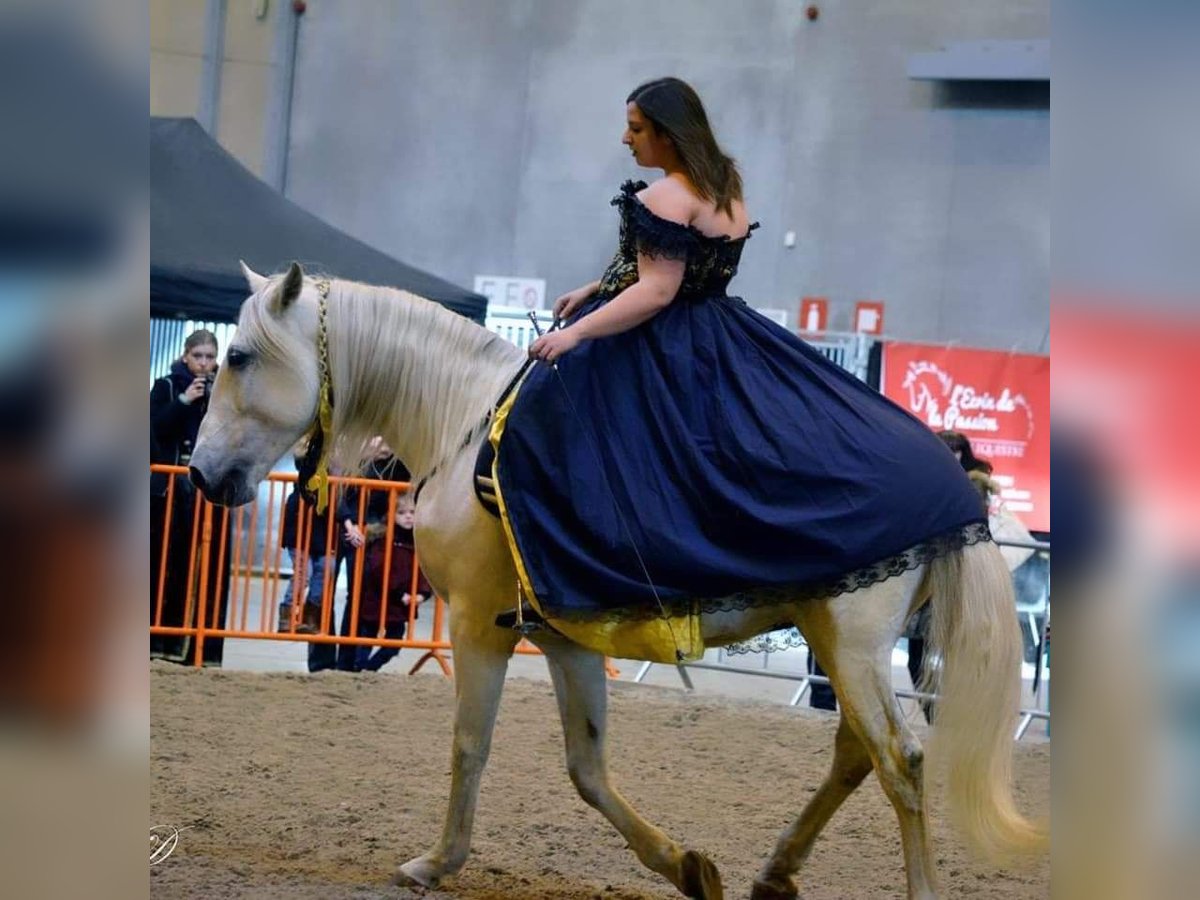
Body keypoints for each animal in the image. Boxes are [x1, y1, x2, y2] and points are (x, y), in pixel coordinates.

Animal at [192, 264, 1046, 900]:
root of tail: (956, 483)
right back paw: (775, 871)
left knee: (901, 762)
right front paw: (687, 867)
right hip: (838, 644)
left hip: (857, 647)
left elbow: (470, 745)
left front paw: (436, 863)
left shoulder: (474, 626)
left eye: (238, 358)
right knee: (855, 753)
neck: (464, 421)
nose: (199, 474)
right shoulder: (564, 639)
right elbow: (588, 768)